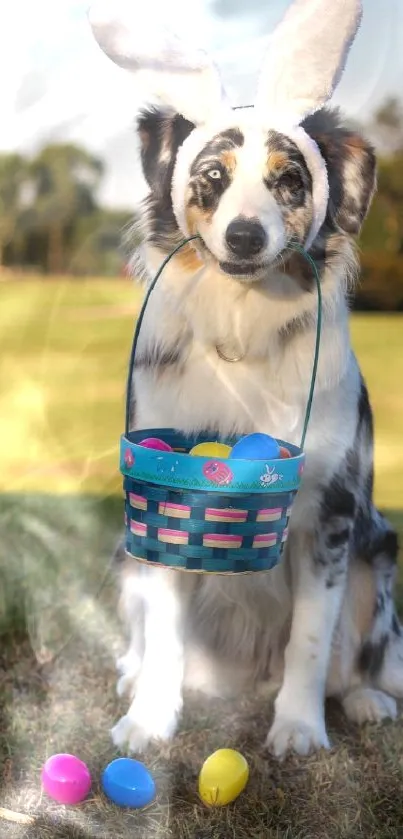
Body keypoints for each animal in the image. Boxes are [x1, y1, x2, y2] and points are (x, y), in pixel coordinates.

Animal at [87, 0, 400, 760]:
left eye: (291, 180)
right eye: (212, 176)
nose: (245, 237)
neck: (242, 323)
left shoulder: (332, 512)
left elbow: (311, 639)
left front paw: (299, 729)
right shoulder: (163, 505)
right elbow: (165, 634)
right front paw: (149, 720)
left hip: (378, 557)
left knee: (358, 657)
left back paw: (366, 699)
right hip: (124, 556)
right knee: (143, 636)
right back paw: (133, 672)